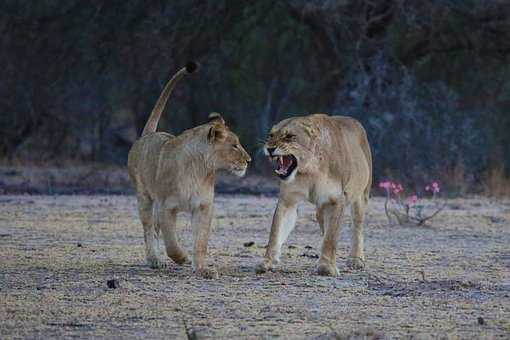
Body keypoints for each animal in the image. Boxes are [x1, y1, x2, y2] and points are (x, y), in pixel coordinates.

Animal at [127, 61, 251, 278]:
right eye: (235, 145)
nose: (249, 160)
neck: (200, 170)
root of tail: (147, 135)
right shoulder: (166, 206)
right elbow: (171, 241)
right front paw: (182, 258)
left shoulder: (203, 207)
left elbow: (200, 241)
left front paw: (202, 269)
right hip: (144, 198)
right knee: (149, 229)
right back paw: (154, 260)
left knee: (155, 229)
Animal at [256, 113, 372, 276]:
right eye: (270, 135)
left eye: (290, 136)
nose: (270, 148)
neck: (309, 170)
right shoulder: (287, 200)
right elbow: (275, 232)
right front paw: (267, 262)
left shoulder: (337, 200)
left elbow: (331, 236)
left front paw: (327, 267)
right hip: (321, 208)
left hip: (361, 196)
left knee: (357, 226)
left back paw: (356, 260)